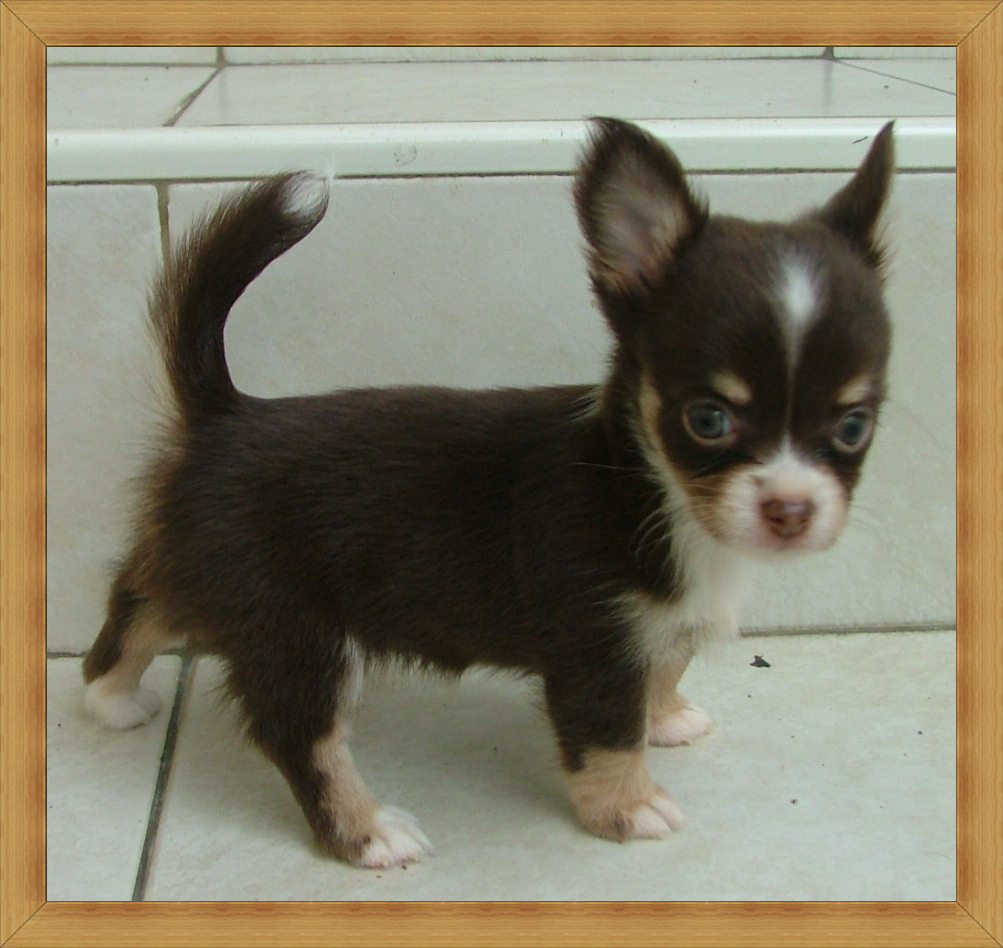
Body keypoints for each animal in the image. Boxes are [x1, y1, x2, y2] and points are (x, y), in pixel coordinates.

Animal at [83, 118, 894, 868]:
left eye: (854, 426)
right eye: (708, 419)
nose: (790, 510)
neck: (651, 487)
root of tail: (225, 414)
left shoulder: (647, 632)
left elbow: (665, 663)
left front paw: (663, 717)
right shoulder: (593, 646)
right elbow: (607, 735)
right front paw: (627, 807)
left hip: (202, 574)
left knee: (137, 603)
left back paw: (107, 698)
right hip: (297, 635)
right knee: (301, 738)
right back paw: (367, 831)